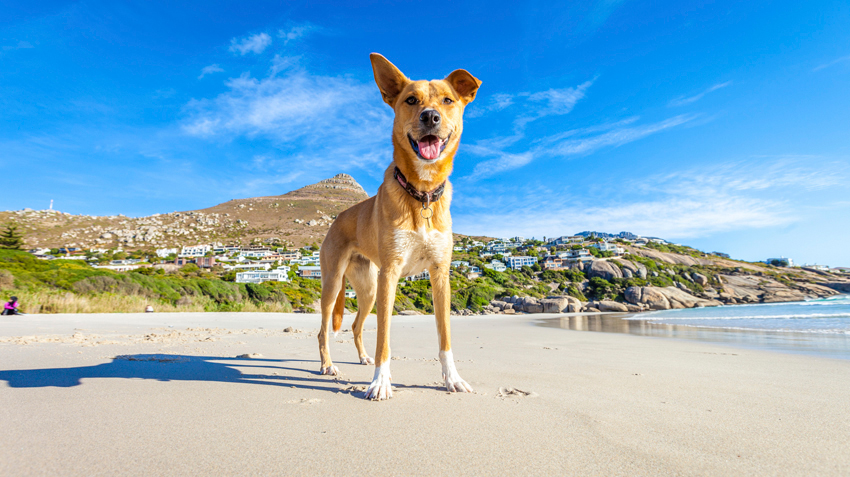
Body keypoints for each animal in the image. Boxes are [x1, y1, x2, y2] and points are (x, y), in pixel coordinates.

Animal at [316, 54, 480, 400]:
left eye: (448, 100)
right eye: (411, 100)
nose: (430, 116)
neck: (422, 193)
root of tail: (338, 218)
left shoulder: (440, 275)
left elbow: (445, 339)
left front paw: (452, 379)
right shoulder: (390, 274)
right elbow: (385, 340)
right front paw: (380, 382)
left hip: (367, 287)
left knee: (355, 325)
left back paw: (362, 358)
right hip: (334, 283)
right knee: (324, 330)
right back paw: (328, 366)